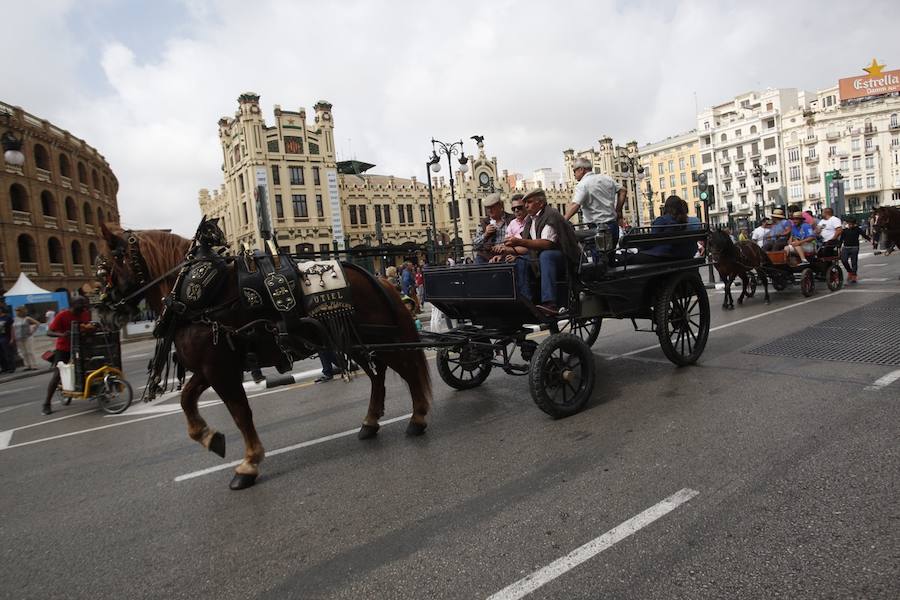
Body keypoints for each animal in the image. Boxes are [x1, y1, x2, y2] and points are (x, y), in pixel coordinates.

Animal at [93, 223, 430, 490]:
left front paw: (249, 463)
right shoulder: (209, 368)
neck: (198, 297)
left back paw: (418, 417)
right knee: (378, 375)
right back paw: (370, 422)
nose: (101, 313)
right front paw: (209, 437)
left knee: (408, 370)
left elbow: (241, 414)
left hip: (383, 338)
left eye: (106, 264)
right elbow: (187, 400)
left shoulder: (219, 369)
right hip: (355, 342)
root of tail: (379, 278)